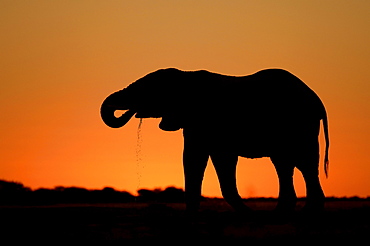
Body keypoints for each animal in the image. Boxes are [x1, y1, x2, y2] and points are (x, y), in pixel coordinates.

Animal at [100, 67, 330, 215]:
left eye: (149, 91)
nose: (130, 111)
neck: (185, 75)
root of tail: (317, 100)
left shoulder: (205, 120)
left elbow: (201, 158)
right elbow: (206, 159)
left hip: (301, 125)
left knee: (305, 163)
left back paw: (308, 212)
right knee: (286, 165)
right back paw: (284, 212)